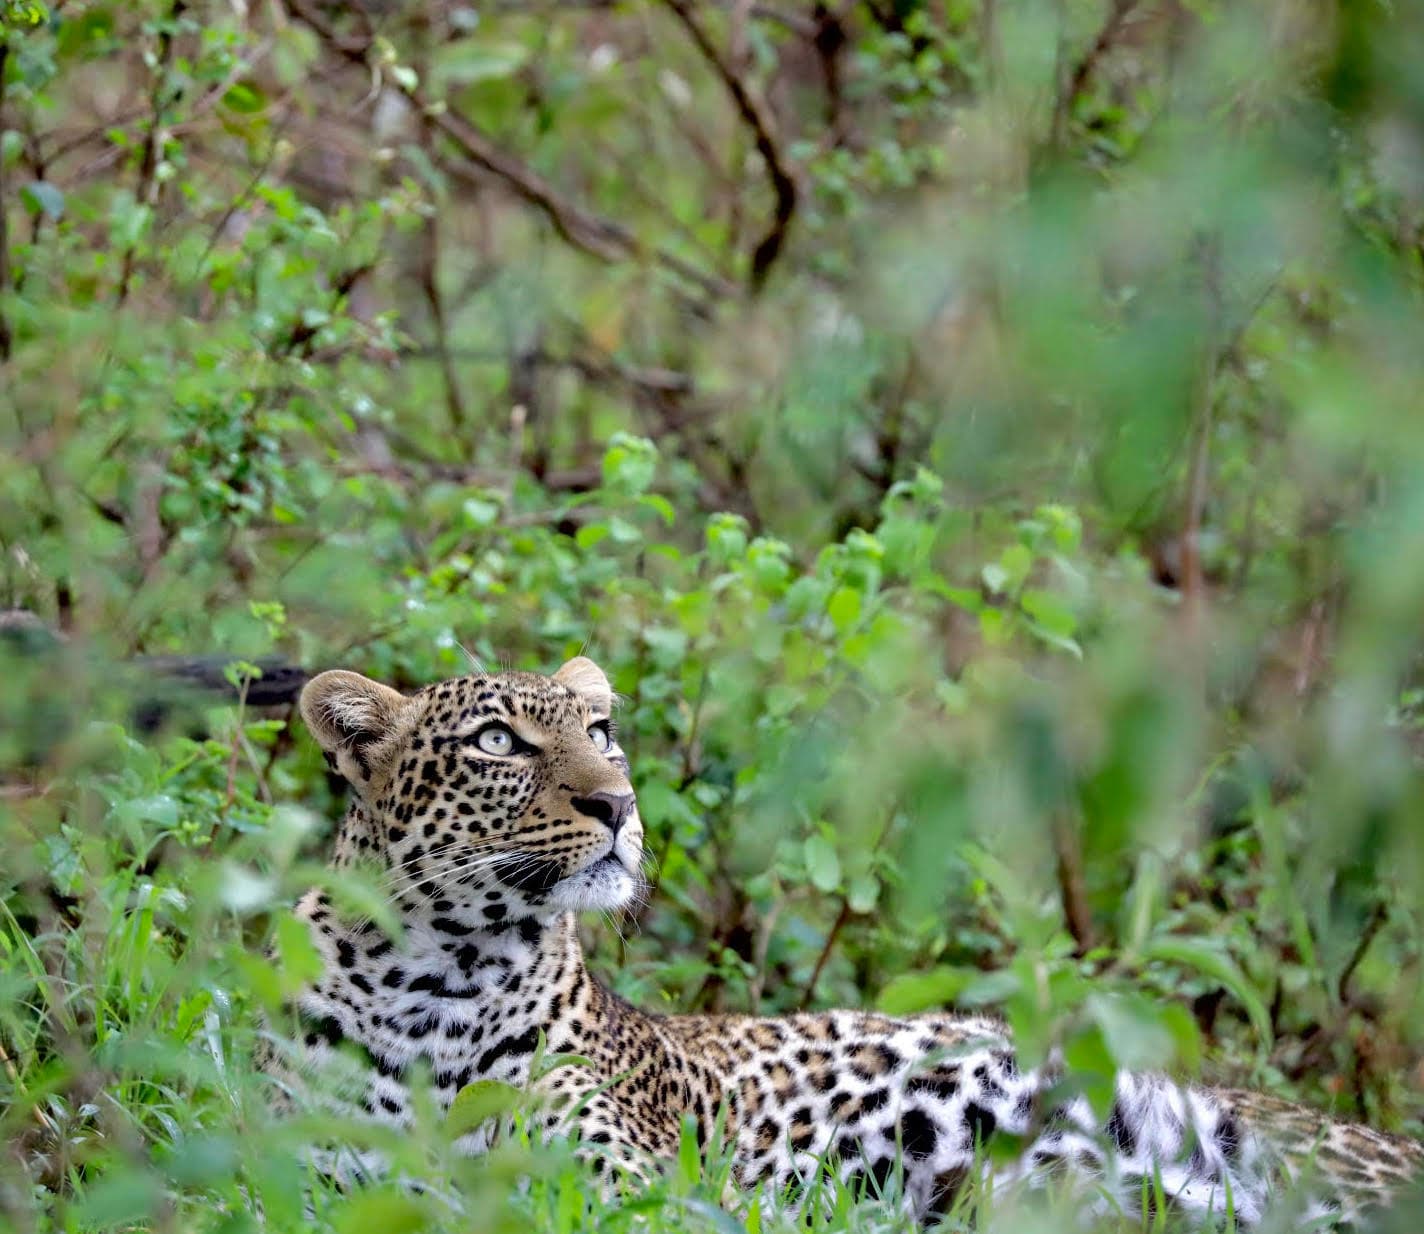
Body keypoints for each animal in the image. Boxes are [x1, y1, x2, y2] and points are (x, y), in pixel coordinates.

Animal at [262, 657, 1423, 1226]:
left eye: (599, 734)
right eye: (497, 741)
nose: (617, 804)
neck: (438, 977)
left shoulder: (636, 1188)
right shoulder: (310, 1173)